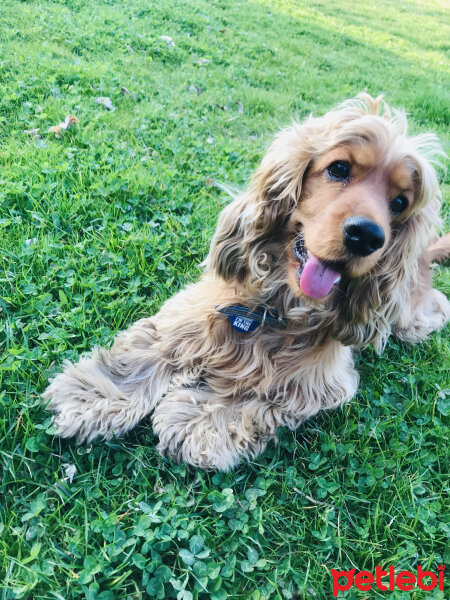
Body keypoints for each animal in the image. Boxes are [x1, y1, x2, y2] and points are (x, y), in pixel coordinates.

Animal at [44, 92, 450, 468]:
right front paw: (95, 396)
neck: (275, 305)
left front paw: (201, 420)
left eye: (399, 204)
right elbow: (147, 352)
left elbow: (259, 388)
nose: (367, 236)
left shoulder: (315, 381)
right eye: (338, 168)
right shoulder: (188, 315)